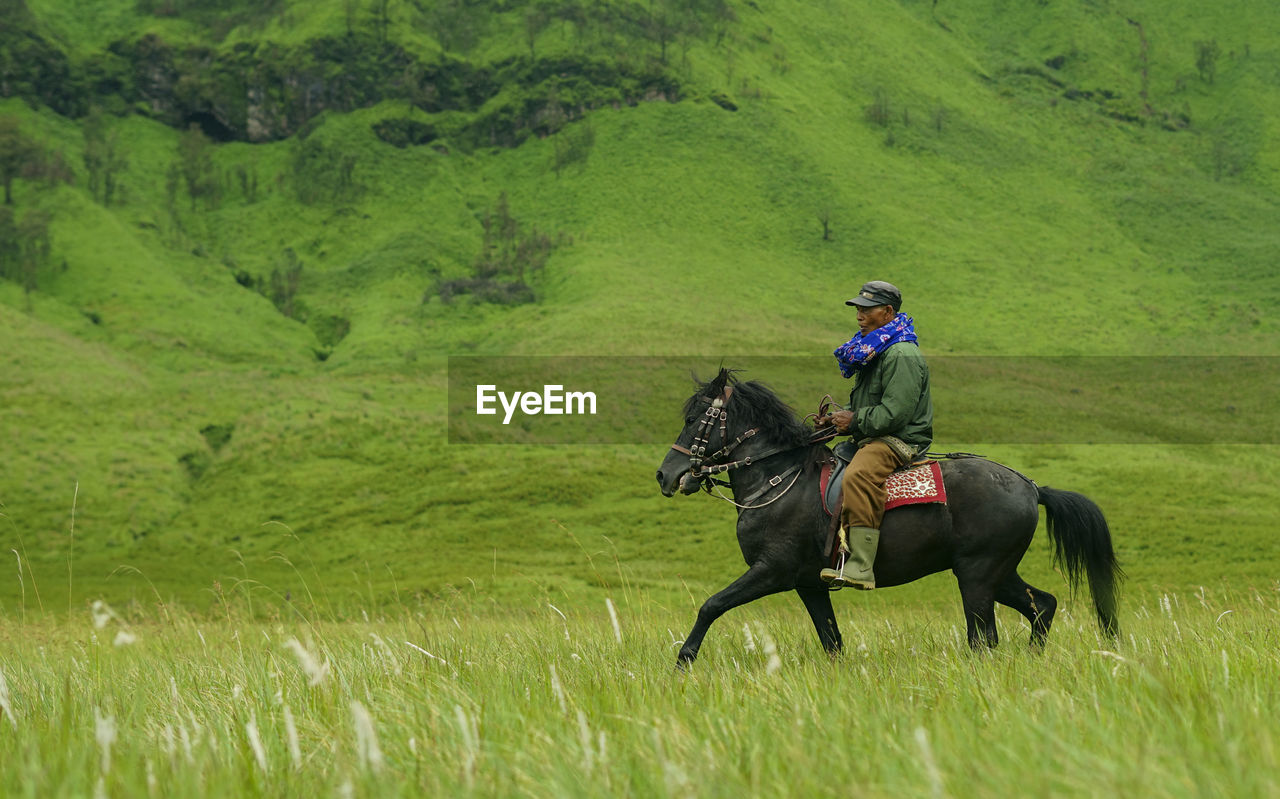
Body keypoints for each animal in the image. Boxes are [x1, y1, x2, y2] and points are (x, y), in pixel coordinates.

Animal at [660, 368, 1121, 665]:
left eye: (692, 419)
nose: (666, 475)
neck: (780, 478)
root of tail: (1031, 486)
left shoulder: (771, 571)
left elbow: (711, 605)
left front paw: (684, 659)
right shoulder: (810, 585)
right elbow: (832, 642)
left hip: (977, 576)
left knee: (984, 639)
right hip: (998, 573)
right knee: (1042, 606)